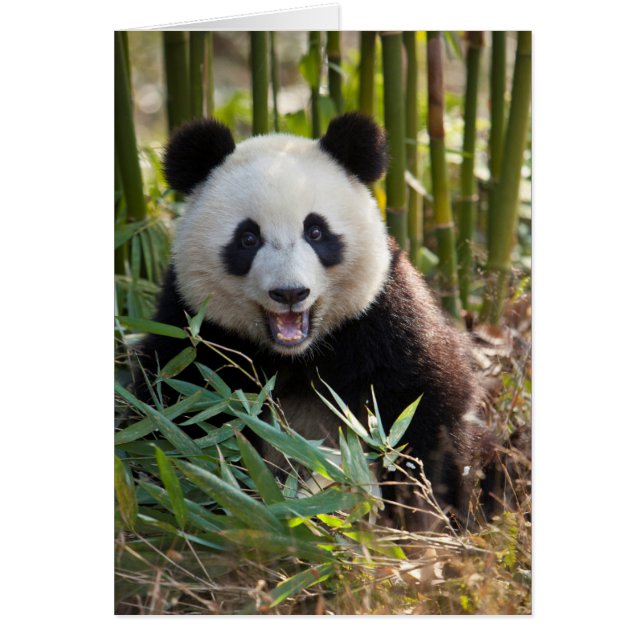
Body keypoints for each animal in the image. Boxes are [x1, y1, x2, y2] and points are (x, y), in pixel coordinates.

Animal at [136, 113, 492, 530]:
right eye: (248, 238)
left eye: (316, 231)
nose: (290, 293)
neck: (295, 354)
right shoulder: (194, 329)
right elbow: (182, 418)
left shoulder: (383, 319)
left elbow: (425, 407)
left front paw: (419, 511)